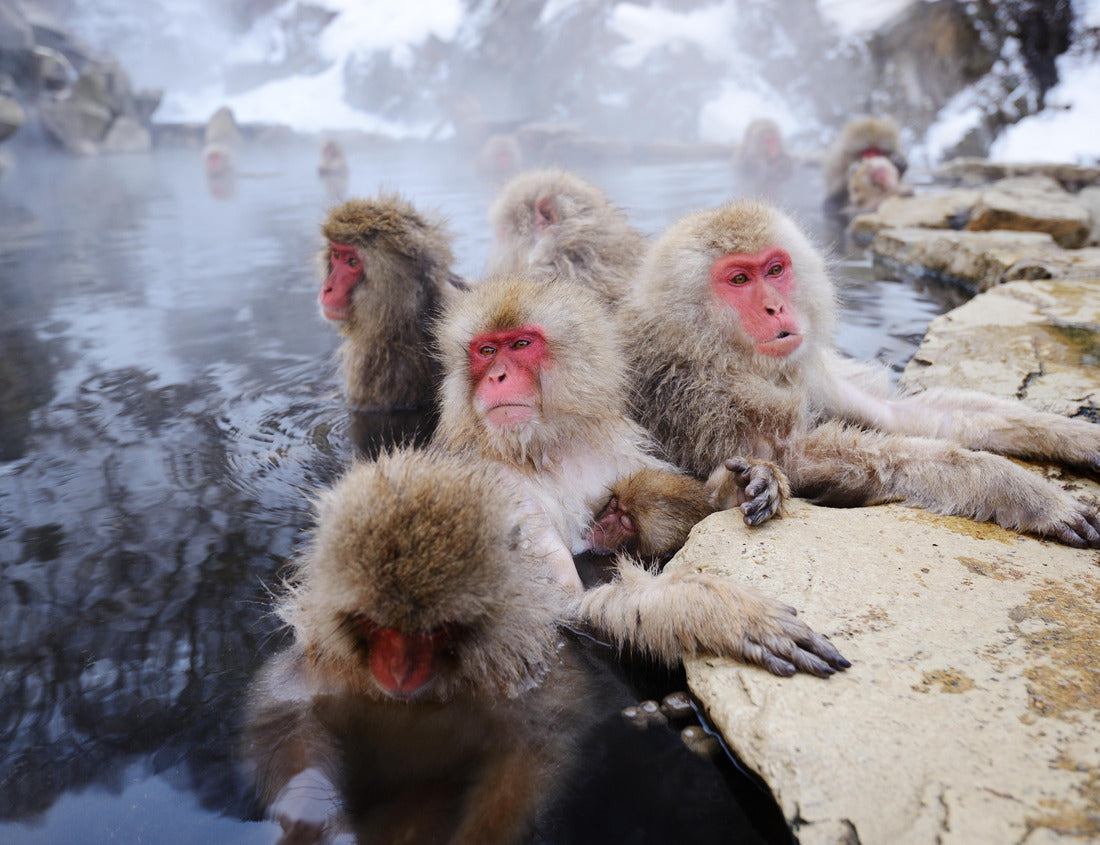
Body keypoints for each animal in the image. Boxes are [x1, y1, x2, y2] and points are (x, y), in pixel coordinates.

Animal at [243, 448, 599, 844]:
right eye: (376, 624)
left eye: (435, 630)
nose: (399, 672)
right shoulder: (330, 667)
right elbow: (284, 712)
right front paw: (312, 816)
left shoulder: (525, 675)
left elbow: (534, 750)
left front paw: (477, 837)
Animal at [432, 272, 850, 676]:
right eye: (487, 351)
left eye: (520, 345)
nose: (497, 376)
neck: (545, 449)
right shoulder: (499, 487)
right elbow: (560, 607)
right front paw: (710, 610)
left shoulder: (617, 452)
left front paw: (748, 482)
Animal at [625, 198, 1100, 549]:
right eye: (739, 279)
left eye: (775, 270)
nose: (775, 307)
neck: (711, 350)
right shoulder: (698, 395)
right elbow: (801, 457)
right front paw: (1022, 491)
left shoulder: (808, 371)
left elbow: (897, 413)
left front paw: (1077, 436)